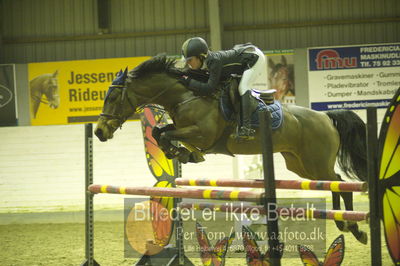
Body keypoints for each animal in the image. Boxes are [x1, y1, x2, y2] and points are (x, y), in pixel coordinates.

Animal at [94, 56, 368, 245]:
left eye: (113, 98)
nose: (99, 132)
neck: (185, 95)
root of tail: (325, 116)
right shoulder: (183, 128)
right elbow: (159, 132)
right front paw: (183, 153)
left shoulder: (202, 134)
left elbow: (167, 134)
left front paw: (183, 153)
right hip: (300, 166)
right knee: (334, 183)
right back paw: (344, 223)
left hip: (315, 162)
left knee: (340, 183)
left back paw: (354, 228)